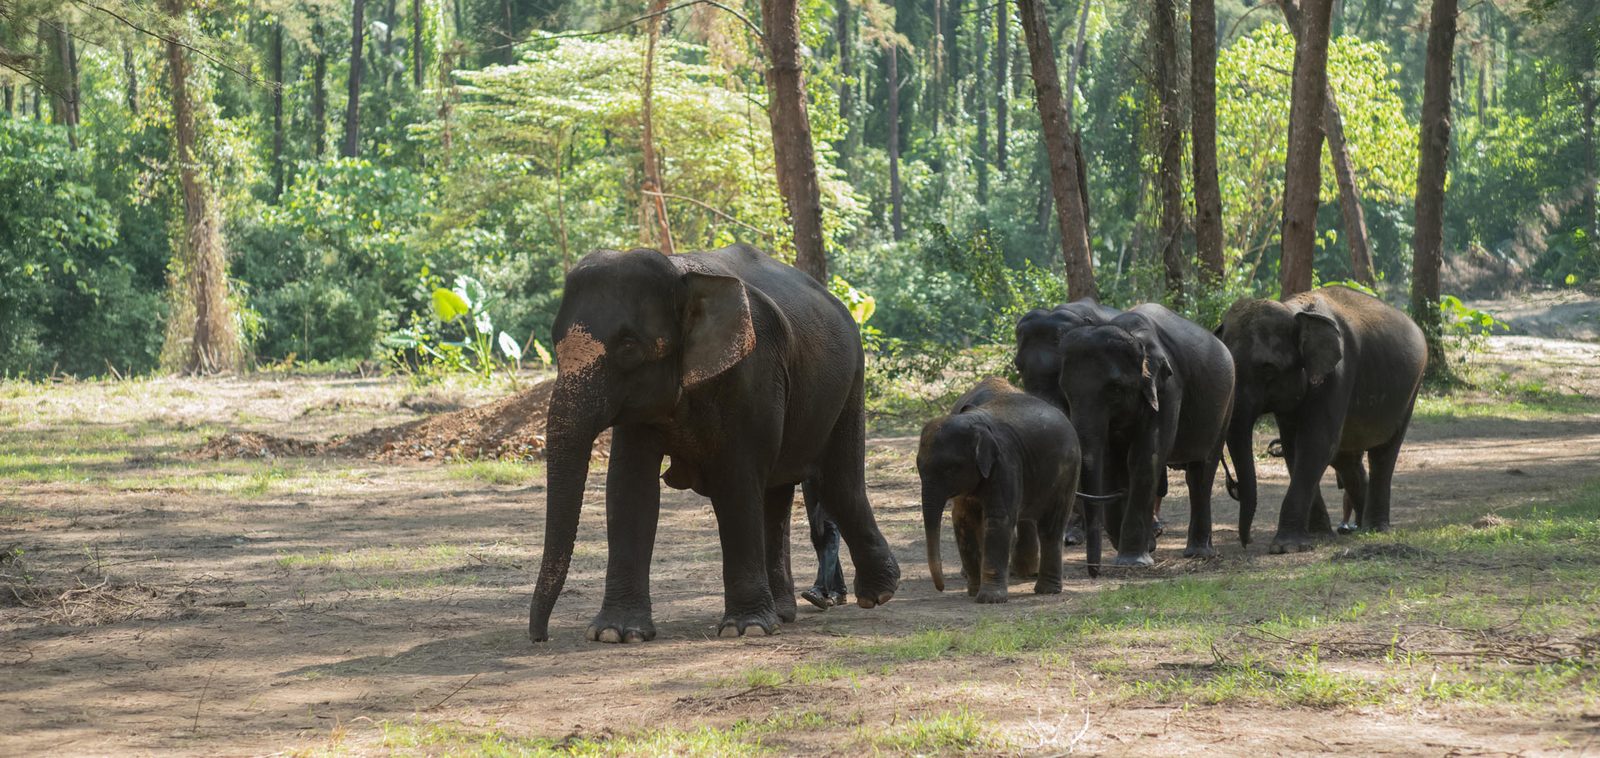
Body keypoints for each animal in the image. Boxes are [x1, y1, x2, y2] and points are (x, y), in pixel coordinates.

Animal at [528, 244, 901, 643]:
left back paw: (878, 593)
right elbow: (629, 486)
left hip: (851, 381)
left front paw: (745, 628)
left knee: (837, 482)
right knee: (778, 493)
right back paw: (785, 612)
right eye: (554, 343)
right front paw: (616, 633)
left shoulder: (754, 370)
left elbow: (735, 479)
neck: (680, 272)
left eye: (629, 347)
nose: (540, 637)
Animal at [918, 377, 1081, 602]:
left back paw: (1047, 590)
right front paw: (973, 592)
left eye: (951, 468)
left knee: (1051, 526)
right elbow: (963, 520)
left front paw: (989, 599)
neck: (976, 423)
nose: (941, 588)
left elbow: (998, 518)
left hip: (1068, 473)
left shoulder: (1005, 463)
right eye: (919, 468)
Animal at [1057, 304, 1235, 568]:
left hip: (1226, 406)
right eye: (1065, 388)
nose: (1094, 570)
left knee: (1202, 471)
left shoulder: (1169, 389)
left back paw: (1199, 553)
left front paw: (1133, 561)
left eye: (1115, 388)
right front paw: (1140, 548)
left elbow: (1145, 456)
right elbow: (1110, 463)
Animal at [1216, 286, 1427, 553]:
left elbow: (1316, 445)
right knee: (1347, 460)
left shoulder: (1337, 375)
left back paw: (1375, 528)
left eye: (1268, 369)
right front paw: (1318, 536)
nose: (1246, 542)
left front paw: (1285, 547)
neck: (1293, 310)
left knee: (1384, 453)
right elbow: (1294, 449)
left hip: (1411, 390)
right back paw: (1359, 526)